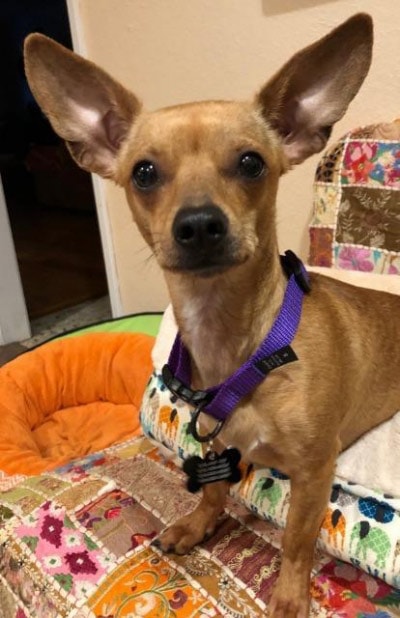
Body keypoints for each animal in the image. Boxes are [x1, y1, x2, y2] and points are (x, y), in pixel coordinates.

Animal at [25, 13, 400, 612]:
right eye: (144, 172)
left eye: (251, 163)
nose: (199, 223)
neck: (243, 339)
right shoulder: (217, 439)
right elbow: (216, 487)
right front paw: (199, 523)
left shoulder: (316, 472)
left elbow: (297, 542)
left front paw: (289, 596)